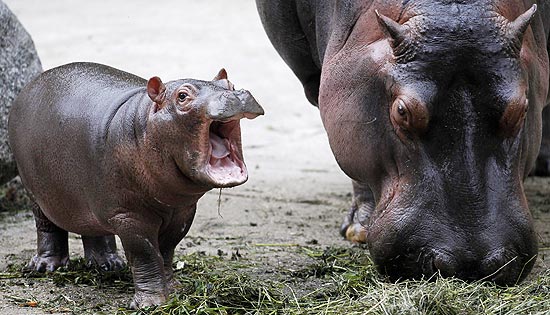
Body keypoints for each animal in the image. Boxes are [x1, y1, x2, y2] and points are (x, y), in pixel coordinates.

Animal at [8, 63, 264, 310]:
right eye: (182, 96)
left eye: (230, 84)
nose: (236, 95)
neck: (146, 124)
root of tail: (30, 85)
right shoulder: (129, 216)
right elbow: (146, 255)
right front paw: (150, 304)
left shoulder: (182, 212)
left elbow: (166, 251)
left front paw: (174, 290)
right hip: (36, 193)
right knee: (47, 226)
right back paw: (45, 266)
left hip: (93, 199)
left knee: (94, 228)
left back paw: (108, 265)